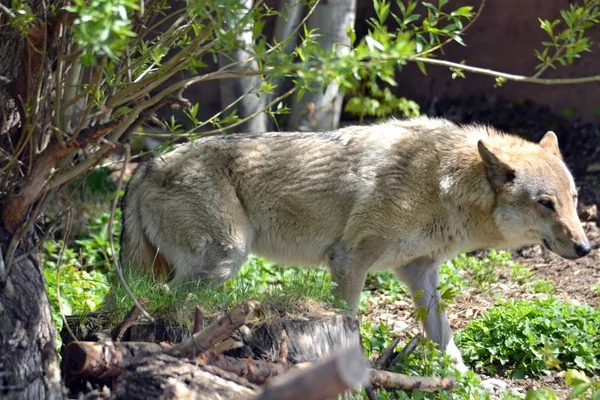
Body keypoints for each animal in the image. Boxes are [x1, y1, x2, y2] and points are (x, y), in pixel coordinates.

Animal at [119, 117, 588, 370]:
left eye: (573, 198)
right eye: (545, 203)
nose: (585, 249)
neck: (443, 183)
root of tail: (146, 165)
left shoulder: (419, 272)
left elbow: (447, 342)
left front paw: (472, 383)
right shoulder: (348, 260)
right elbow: (351, 323)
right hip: (224, 260)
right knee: (171, 306)